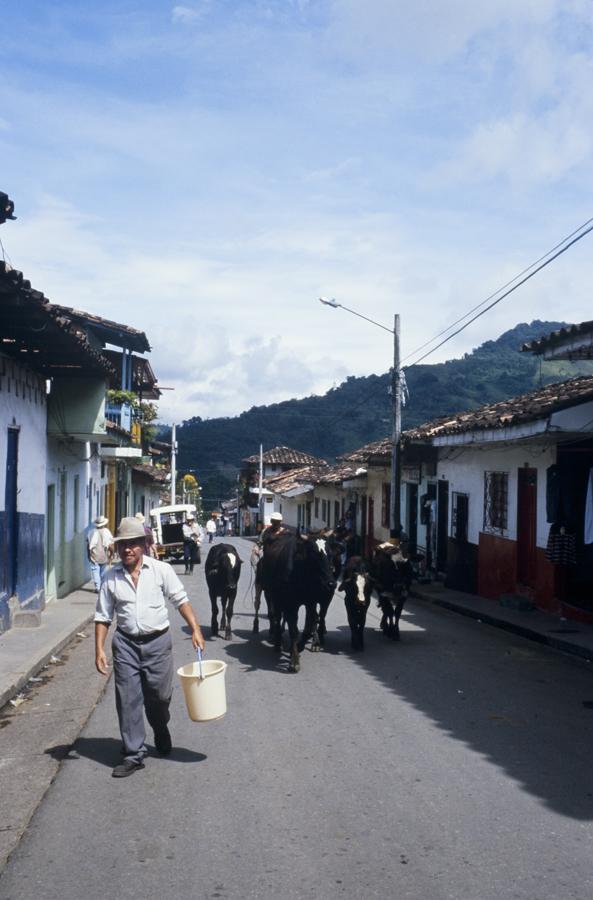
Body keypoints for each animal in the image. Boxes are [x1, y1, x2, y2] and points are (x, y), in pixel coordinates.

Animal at [262, 532, 336, 672]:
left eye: (330, 553)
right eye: (314, 553)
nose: (331, 583)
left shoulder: (311, 602)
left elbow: (311, 624)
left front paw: (299, 647)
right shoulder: (290, 604)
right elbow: (294, 631)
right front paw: (294, 661)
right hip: (274, 597)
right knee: (276, 617)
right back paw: (278, 643)